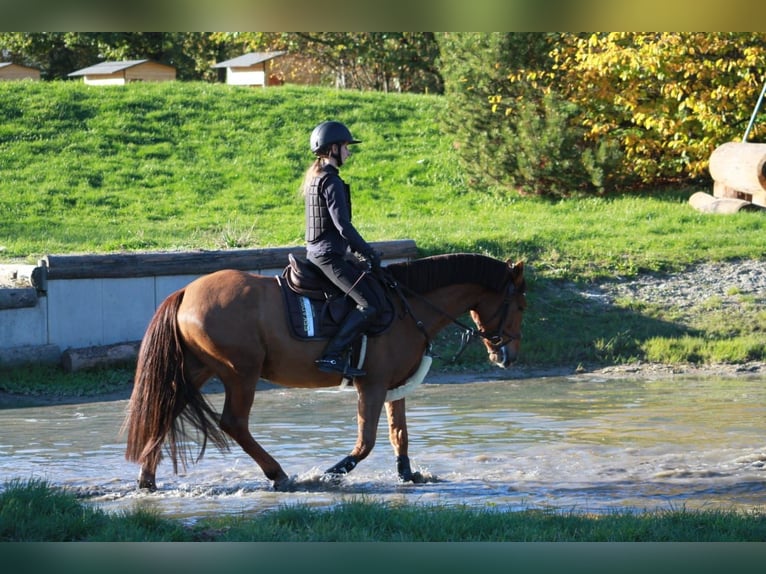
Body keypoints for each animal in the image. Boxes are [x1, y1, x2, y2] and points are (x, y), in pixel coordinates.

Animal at [123, 254, 528, 492]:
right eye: (521, 306)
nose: (507, 356)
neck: (405, 305)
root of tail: (186, 291)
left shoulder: (394, 386)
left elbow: (399, 434)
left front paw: (407, 474)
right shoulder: (372, 385)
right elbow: (366, 442)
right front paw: (333, 472)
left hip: (198, 369)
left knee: (165, 412)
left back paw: (147, 479)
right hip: (241, 373)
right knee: (234, 423)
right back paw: (279, 474)